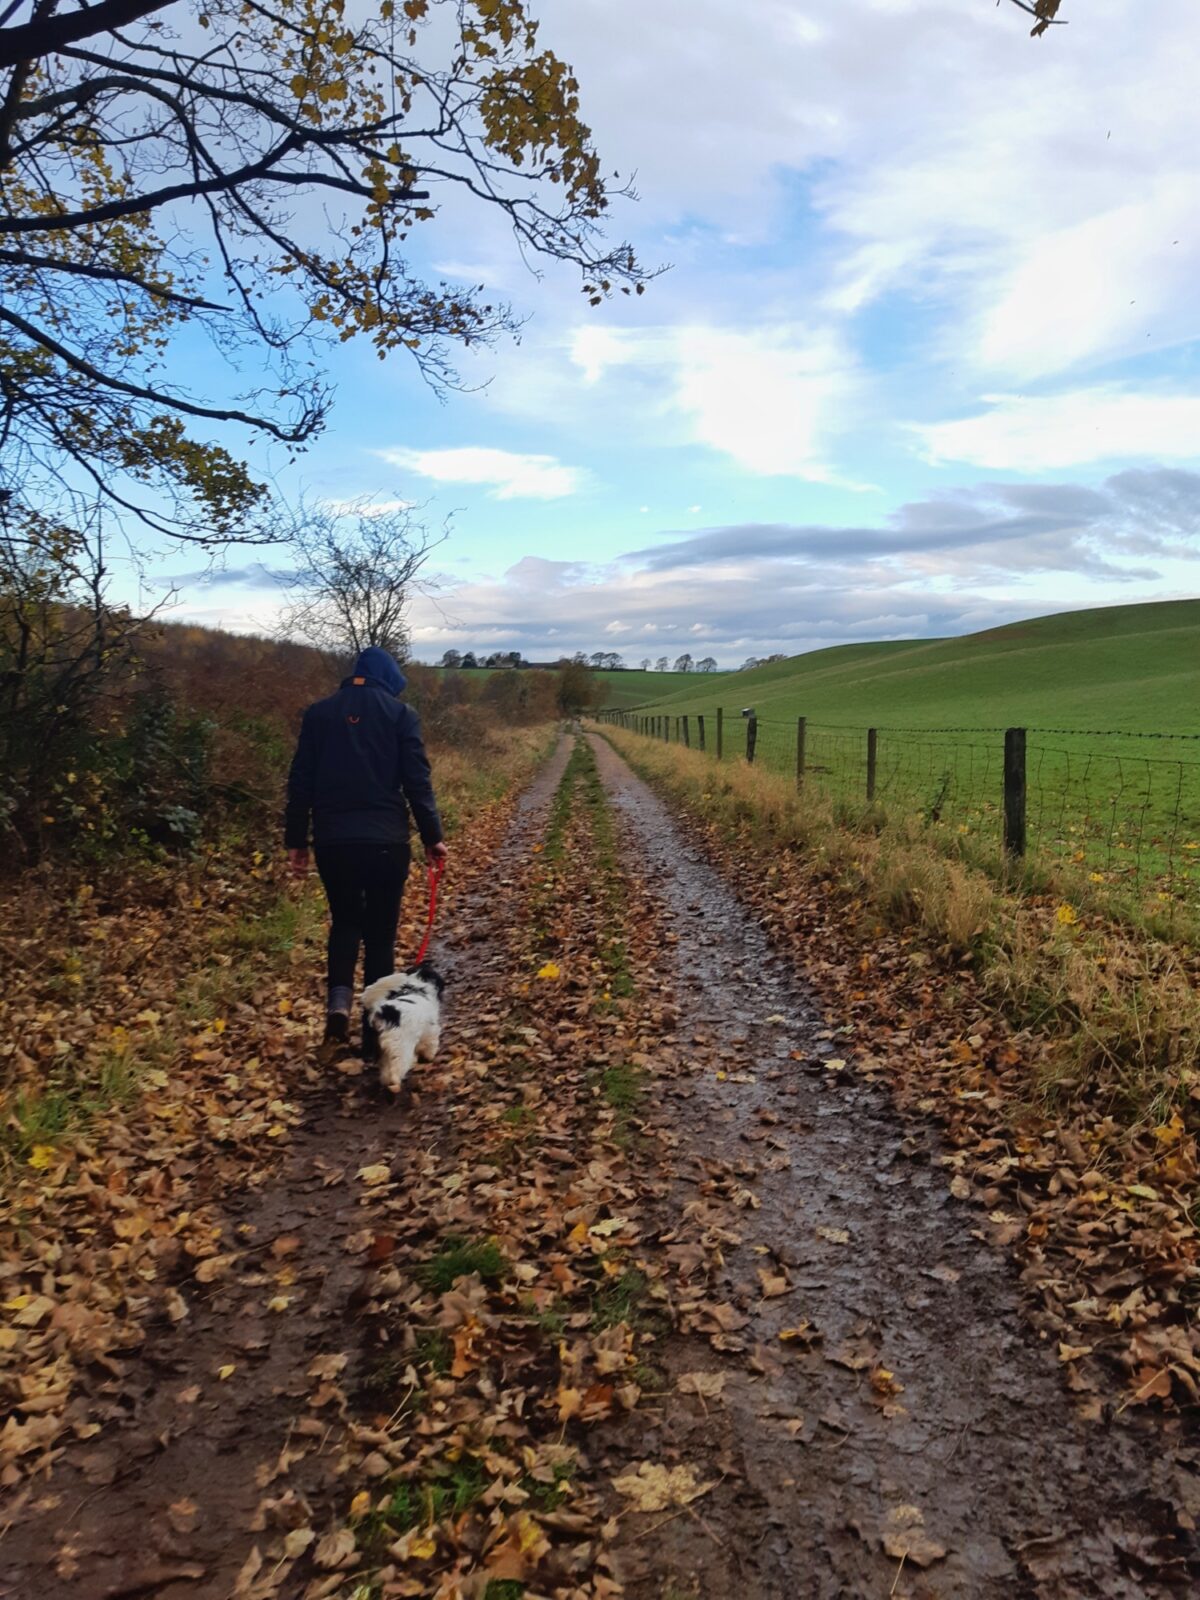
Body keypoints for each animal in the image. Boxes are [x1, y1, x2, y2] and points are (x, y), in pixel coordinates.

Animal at [360, 962, 446, 1094]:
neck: (418, 987)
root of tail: (383, 1015)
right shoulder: (431, 1031)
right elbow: (430, 1045)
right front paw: (429, 1057)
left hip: (383, 1051)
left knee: (385, 1070)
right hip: (401, 1050)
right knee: (396, 1071)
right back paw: (396, 1084)